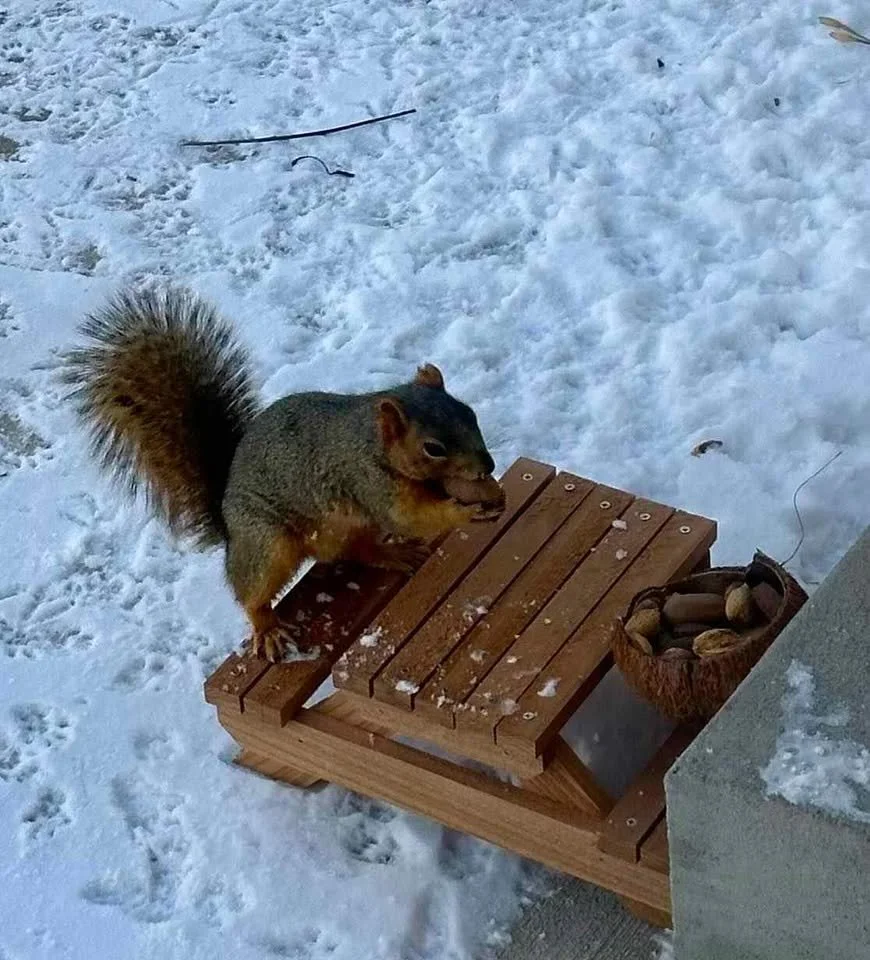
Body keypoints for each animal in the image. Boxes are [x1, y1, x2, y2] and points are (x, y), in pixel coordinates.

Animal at [62, 287, 505, 662]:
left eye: (469, 413)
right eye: (433, 448)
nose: (488, 466)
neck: (373, 443)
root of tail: (228, 524)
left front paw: (489, 494)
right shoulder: (367, 480)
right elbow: (409, 516)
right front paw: (466, 511)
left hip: (344, 528)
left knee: (357, 550)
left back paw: (390, 552)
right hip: (267, 543)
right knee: (250, 592)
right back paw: (266, 627)